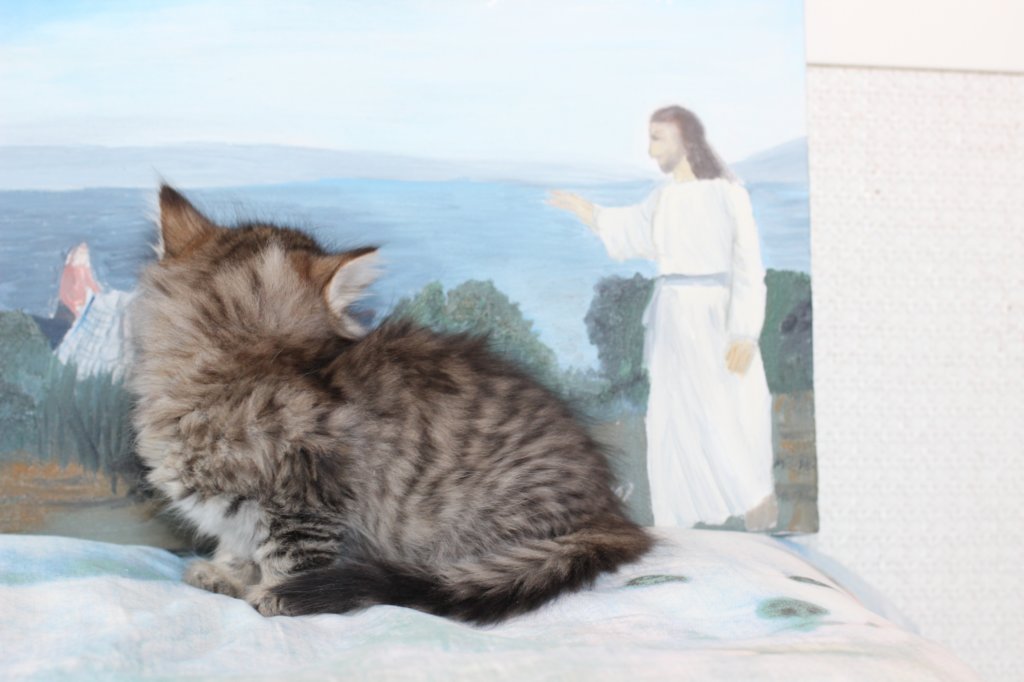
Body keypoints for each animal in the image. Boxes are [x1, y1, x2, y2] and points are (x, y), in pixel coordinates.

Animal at [128, 185, 653, 624]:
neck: (227, 370)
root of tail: (609, 512)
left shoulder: (305, 502)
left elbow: (288, 559)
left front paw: (275, 596)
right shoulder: (252, 512)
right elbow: (235, 543)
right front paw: (226, 573)